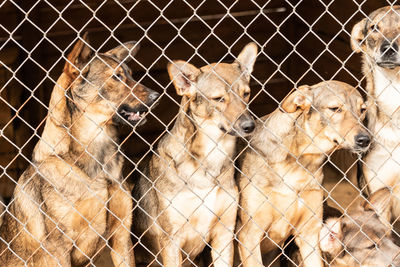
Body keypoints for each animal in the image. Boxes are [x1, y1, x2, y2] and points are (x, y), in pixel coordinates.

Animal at [236, 81, 370, 267]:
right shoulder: (249, 235)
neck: (299, 164)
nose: (365, 140)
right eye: (335, 108)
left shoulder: (309, 235)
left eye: (362, 110)